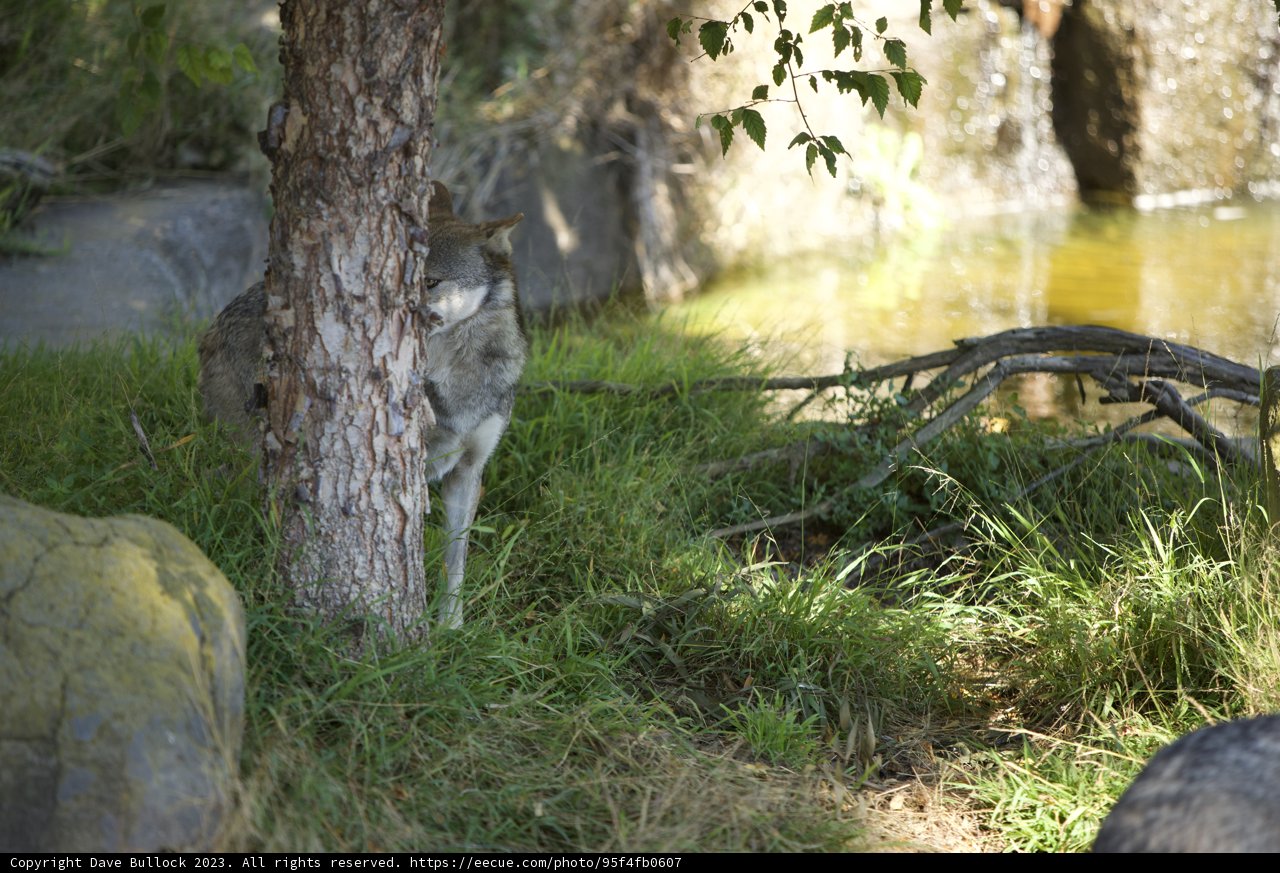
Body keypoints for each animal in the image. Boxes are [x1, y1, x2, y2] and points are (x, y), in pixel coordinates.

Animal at [198, 181, 526, 628]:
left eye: (430, 281)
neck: (456, 376)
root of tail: (211, 329)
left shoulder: (467, 471)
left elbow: (454, 562)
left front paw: (451, 628)